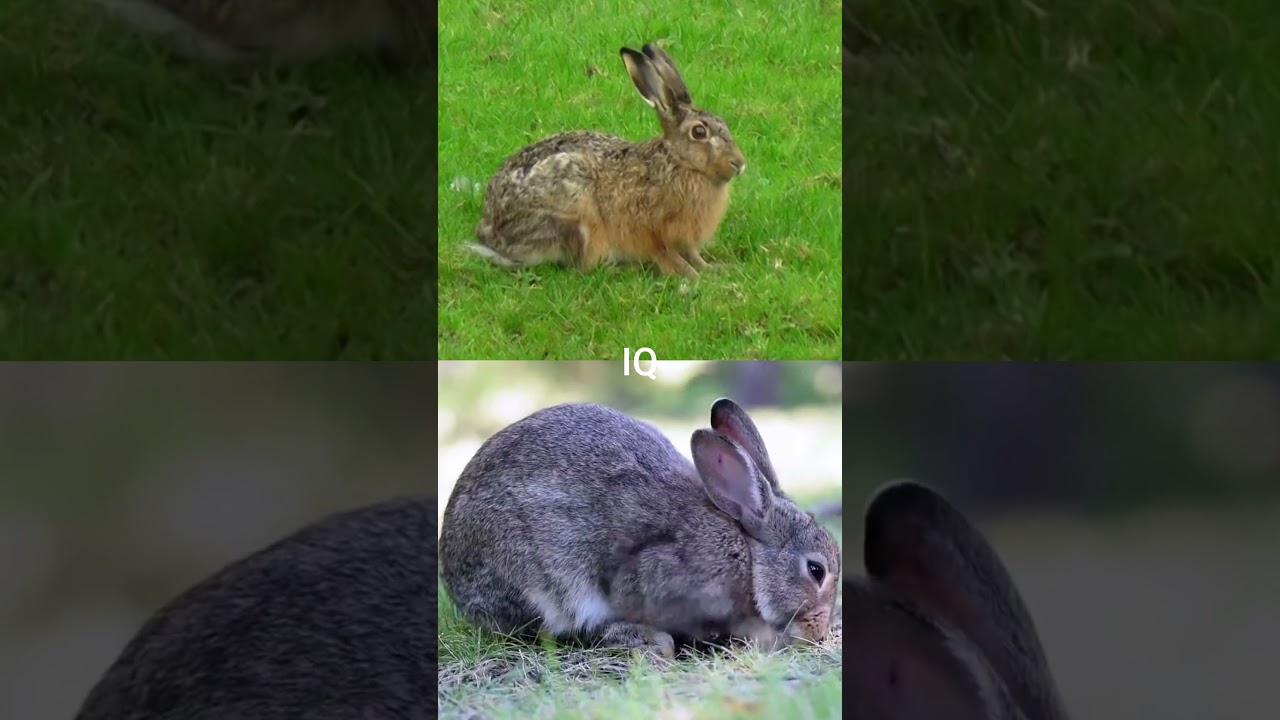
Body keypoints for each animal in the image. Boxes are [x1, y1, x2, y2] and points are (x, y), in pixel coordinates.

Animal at [467, 42, 747, 279]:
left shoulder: (685, 239)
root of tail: (492, 234)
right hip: (576, 216)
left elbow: (693, 254)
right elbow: (667, 255)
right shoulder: (651, 230)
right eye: (699, 132)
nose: (739, 164)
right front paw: (692, 276)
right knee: (583, 266)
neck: (679, 163)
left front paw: (713, 269)